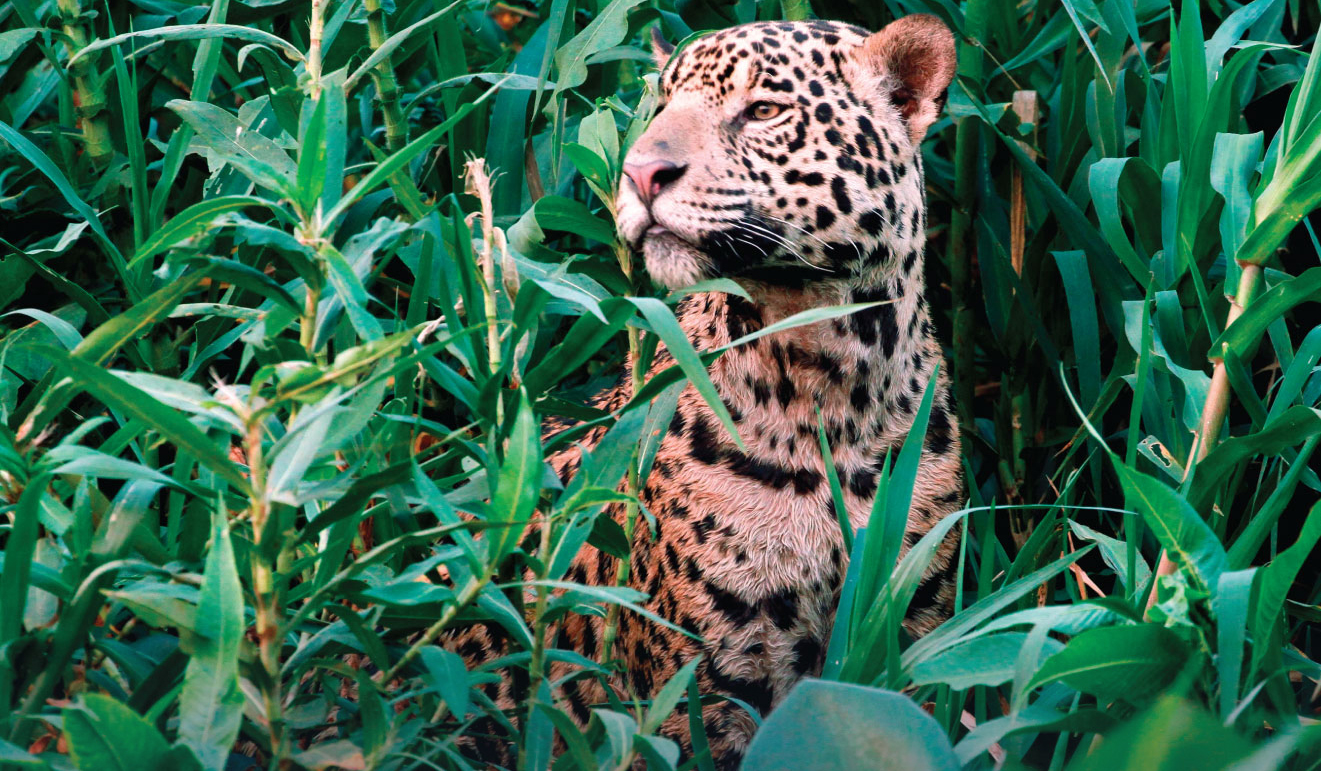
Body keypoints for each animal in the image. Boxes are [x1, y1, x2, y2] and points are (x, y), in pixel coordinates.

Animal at [449, 14, 963, 769]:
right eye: (661, 106)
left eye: (764, 111)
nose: (639, 172)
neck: (831, 382)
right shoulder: (715, 684)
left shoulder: (917, 626)